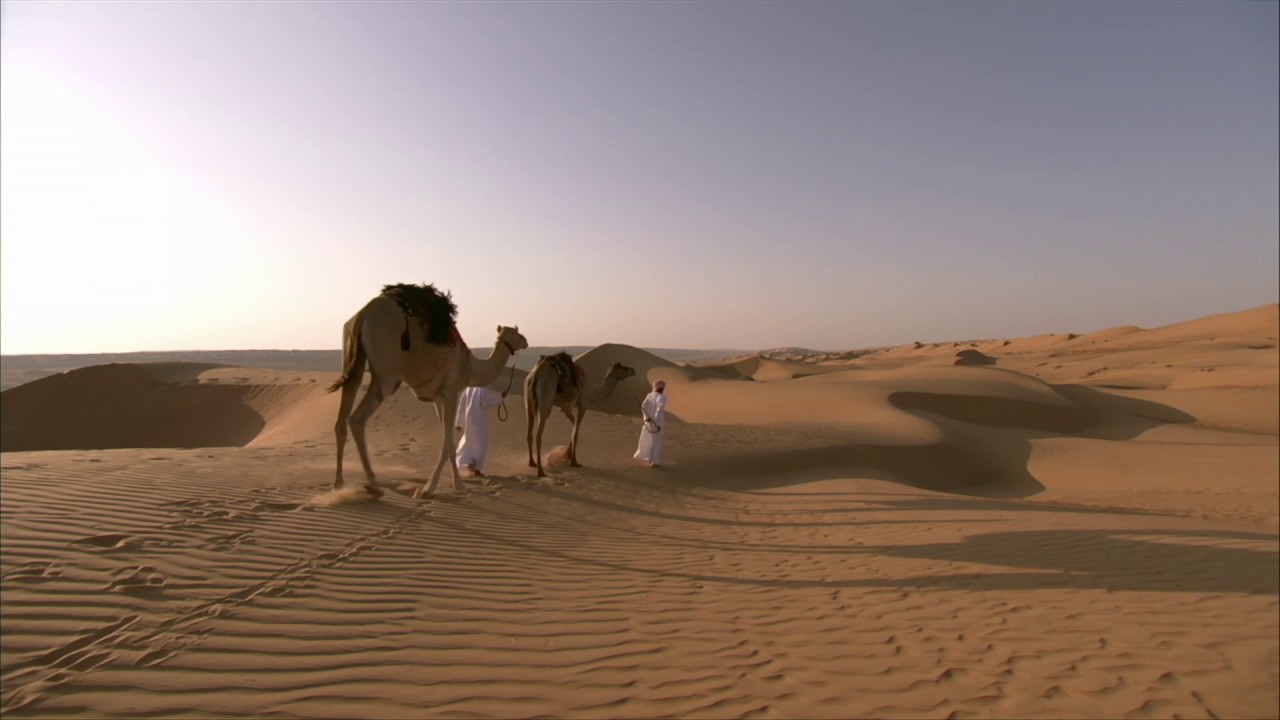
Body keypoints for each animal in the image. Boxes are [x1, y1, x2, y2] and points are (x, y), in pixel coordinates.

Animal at [328, 284, 528, 499]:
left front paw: (458, 485)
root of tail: (363, 314)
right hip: (387, 373)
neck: (470, 365)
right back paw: (373, 484)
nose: (526, 341)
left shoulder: (438, 399)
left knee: (342, 417)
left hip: (352, 360)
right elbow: (447, 442)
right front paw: (429, 488)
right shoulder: (451, 392)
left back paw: (338, 485)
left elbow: (448, 442)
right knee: (357, 419)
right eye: (517, 333)